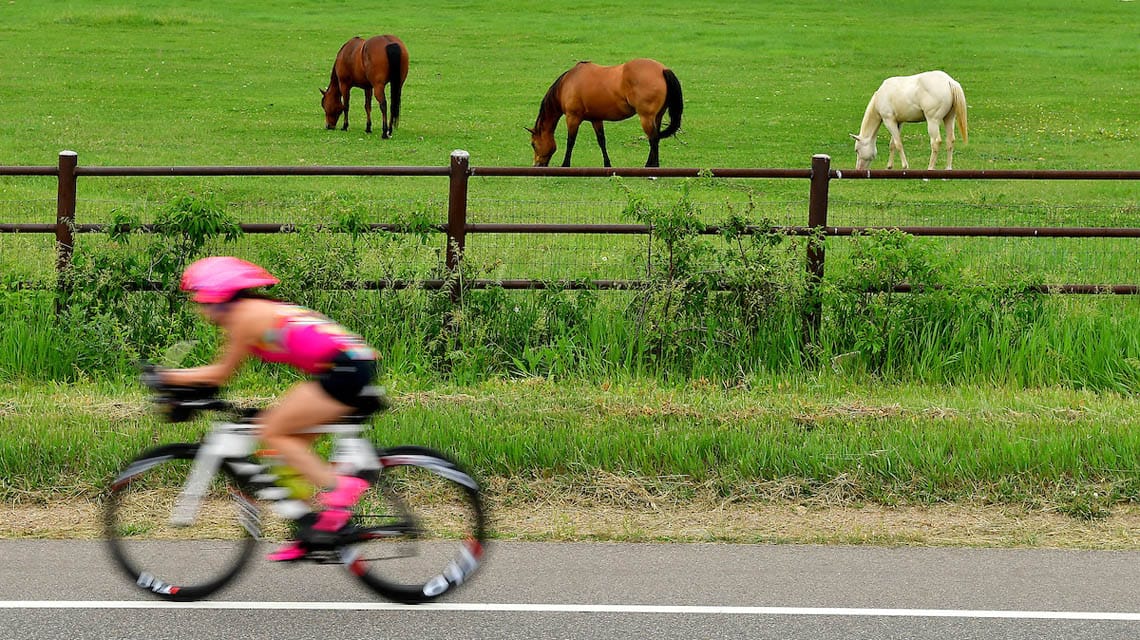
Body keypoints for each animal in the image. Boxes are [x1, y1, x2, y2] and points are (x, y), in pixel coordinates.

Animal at [526, 57, 679, 167]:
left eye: (533, 144)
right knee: (655, 138)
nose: (536, 165)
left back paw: (651, 168)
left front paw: (565, 165)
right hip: (657, 117)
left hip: (646, 117)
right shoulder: (596, 119)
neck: (567, 83)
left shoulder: (572, 118)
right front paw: (607, 165)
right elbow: (602, 141)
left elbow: (570, 141)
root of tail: (662, 69)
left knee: (653, 139)